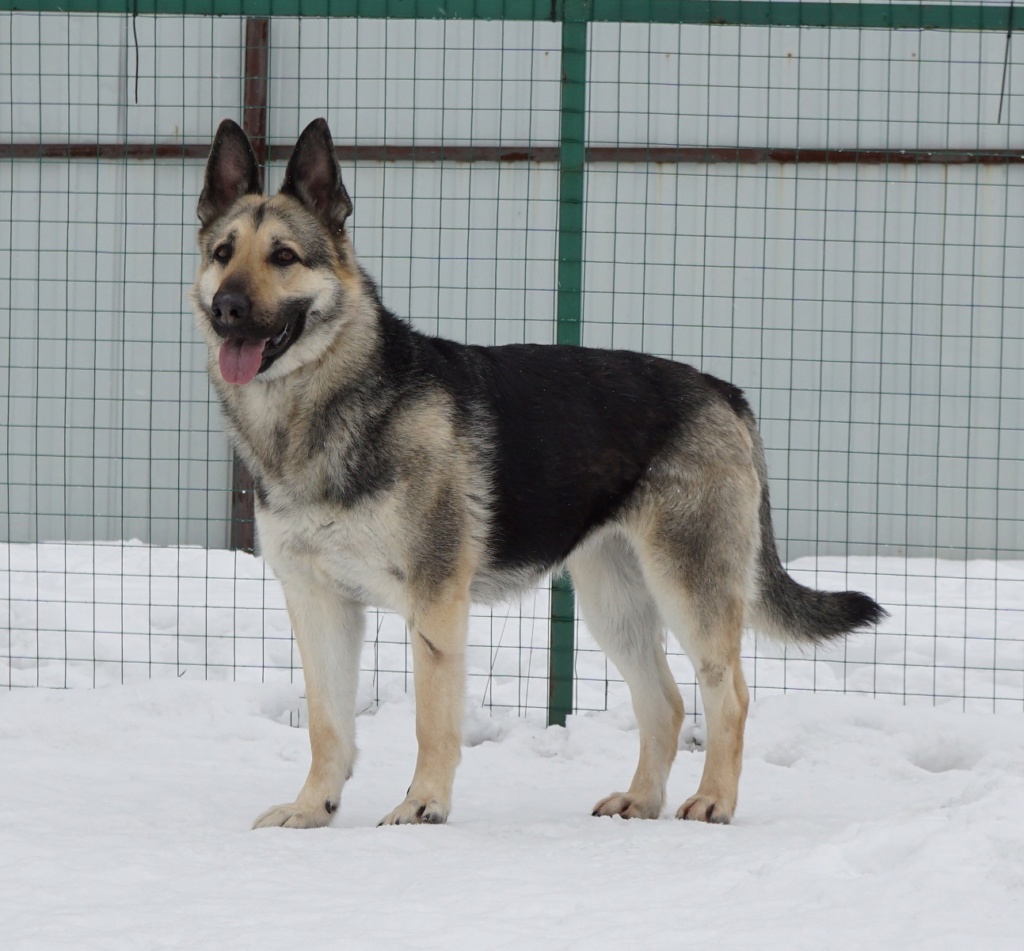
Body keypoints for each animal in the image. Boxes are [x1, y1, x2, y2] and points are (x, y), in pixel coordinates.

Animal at [192, 118, 888, 827]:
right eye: (223, 252)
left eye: (283, 256)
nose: (226, 308)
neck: (324, 408)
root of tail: (723, 390)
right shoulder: (318, 604)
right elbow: (327, 725)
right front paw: (313, 810)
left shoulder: (435, 604)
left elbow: (430, 722)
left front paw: (421, 807)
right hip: (615, 602)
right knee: (665, 702)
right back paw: (641, 800)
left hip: (689, 588)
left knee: (730, 695)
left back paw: (714, 799)